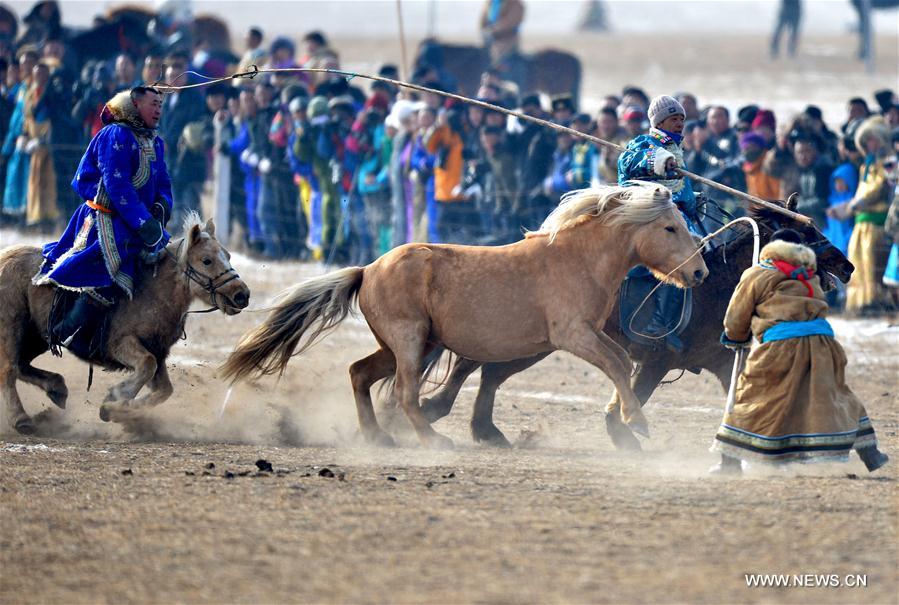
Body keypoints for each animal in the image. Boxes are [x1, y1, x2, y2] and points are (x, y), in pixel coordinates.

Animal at [0, 215, 250, 432]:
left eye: (228, 255)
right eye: (207, 260)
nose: (242, 295)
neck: (152, 292)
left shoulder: (157, 353)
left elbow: (164, 390)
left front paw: (116, 408)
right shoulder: (122, 345)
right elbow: (146, 367)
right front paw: (117, 398)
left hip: (36, 337)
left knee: (21, 365)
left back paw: (57, 389)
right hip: (12, 327)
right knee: (9, 369)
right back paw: (22, 419)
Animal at [223, 182, 712, 446]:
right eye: (670, 228)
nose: (701, 273)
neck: (576, 257)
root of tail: (368, 269)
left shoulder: (589, 333)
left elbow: (622, 362)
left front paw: (627, 418)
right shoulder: (573, 335)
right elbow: (616, 363)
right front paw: (638, 422)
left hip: (409, 345)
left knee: (360, 373)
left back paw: (379, 436)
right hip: (409, 342)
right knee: (404, 393)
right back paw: (432, 439)